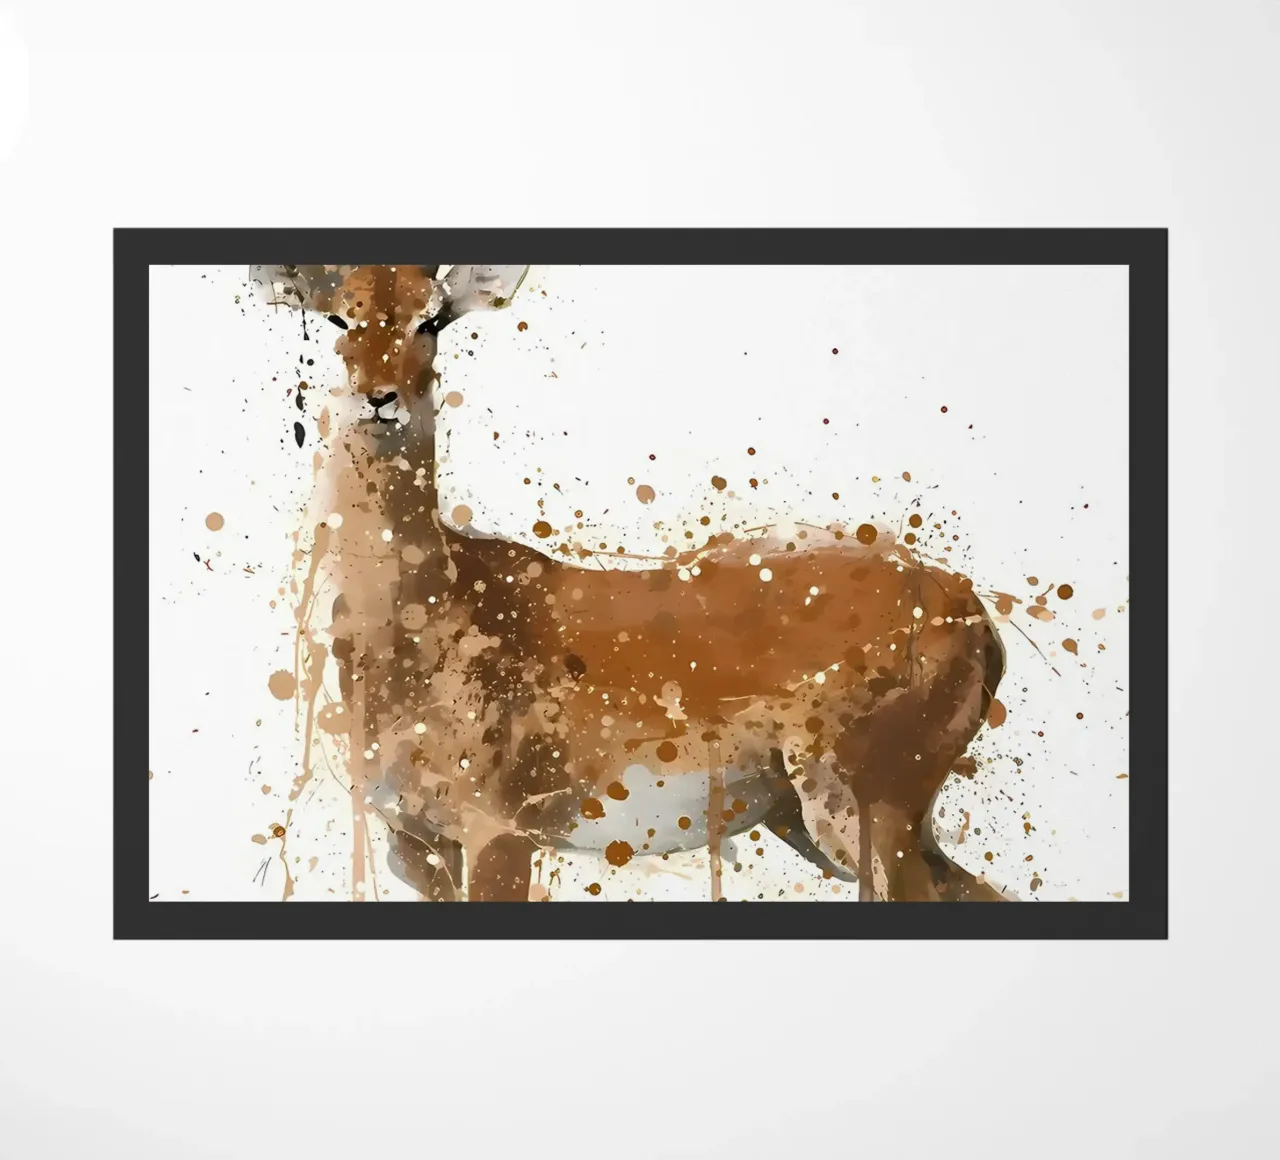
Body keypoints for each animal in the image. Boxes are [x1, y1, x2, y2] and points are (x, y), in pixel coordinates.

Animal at [271, 263, 1008, 903]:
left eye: (431, 317)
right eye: (337, 314)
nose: (380, 398)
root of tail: (966, 602)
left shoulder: (500, 833)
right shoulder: (412, 844)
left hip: (863, 812)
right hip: (811, 819)